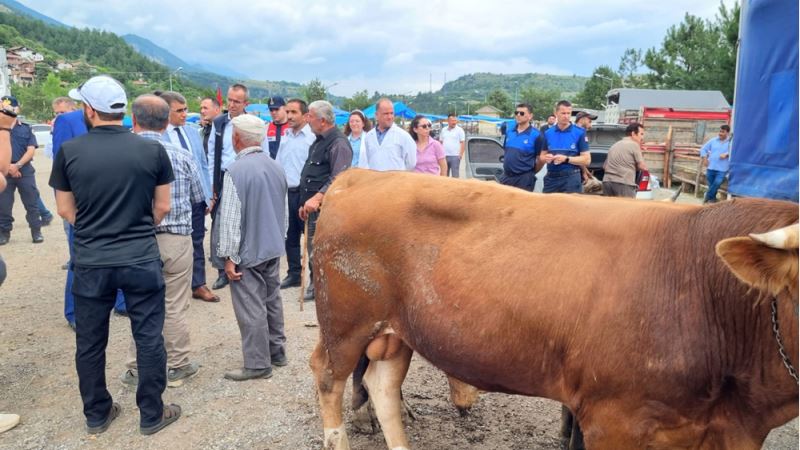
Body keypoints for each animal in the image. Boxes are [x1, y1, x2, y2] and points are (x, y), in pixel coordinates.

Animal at [310, 170, 796, 450]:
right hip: (346, 324)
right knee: (329, 376)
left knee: (382, 383)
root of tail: (359, 174)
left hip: (396, 332)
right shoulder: (614, 419)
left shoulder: (732, 433)